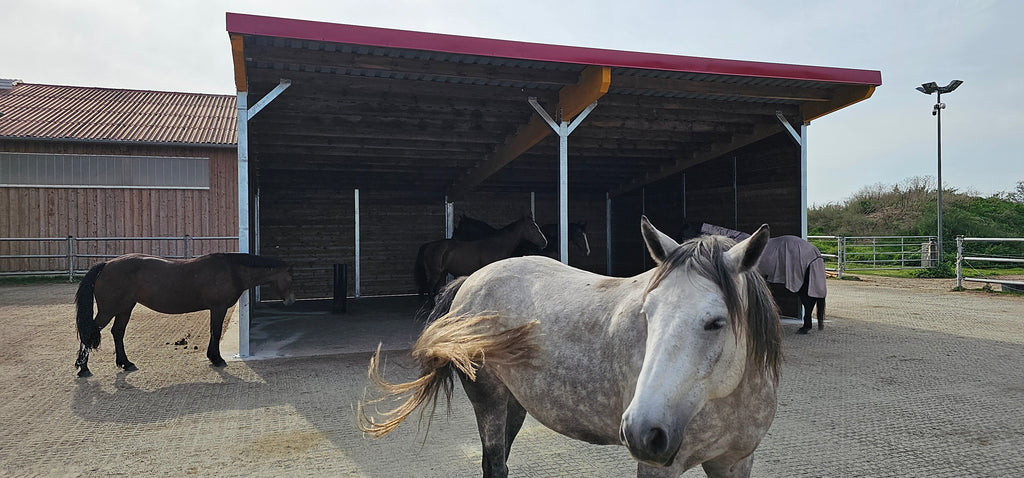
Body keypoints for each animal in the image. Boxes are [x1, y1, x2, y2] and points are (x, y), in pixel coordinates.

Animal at [73, 252, 295, 378]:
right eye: (291, 276)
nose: (291, 300)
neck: (231, 270)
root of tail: (106, 265)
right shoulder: (218, 307)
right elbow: (215, 331)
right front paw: (217, 358)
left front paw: (213, 357)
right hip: (109, 309)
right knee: (89, 333)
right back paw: (83, 369)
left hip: (125, 308)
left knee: (118, 332)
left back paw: (126, 363)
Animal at [414, 216, 547, 303]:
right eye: (532, 227)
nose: (544, 242)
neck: (496, 245)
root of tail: (429, 246)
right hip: (435, 273)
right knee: (430, 288)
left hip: (443, 273)